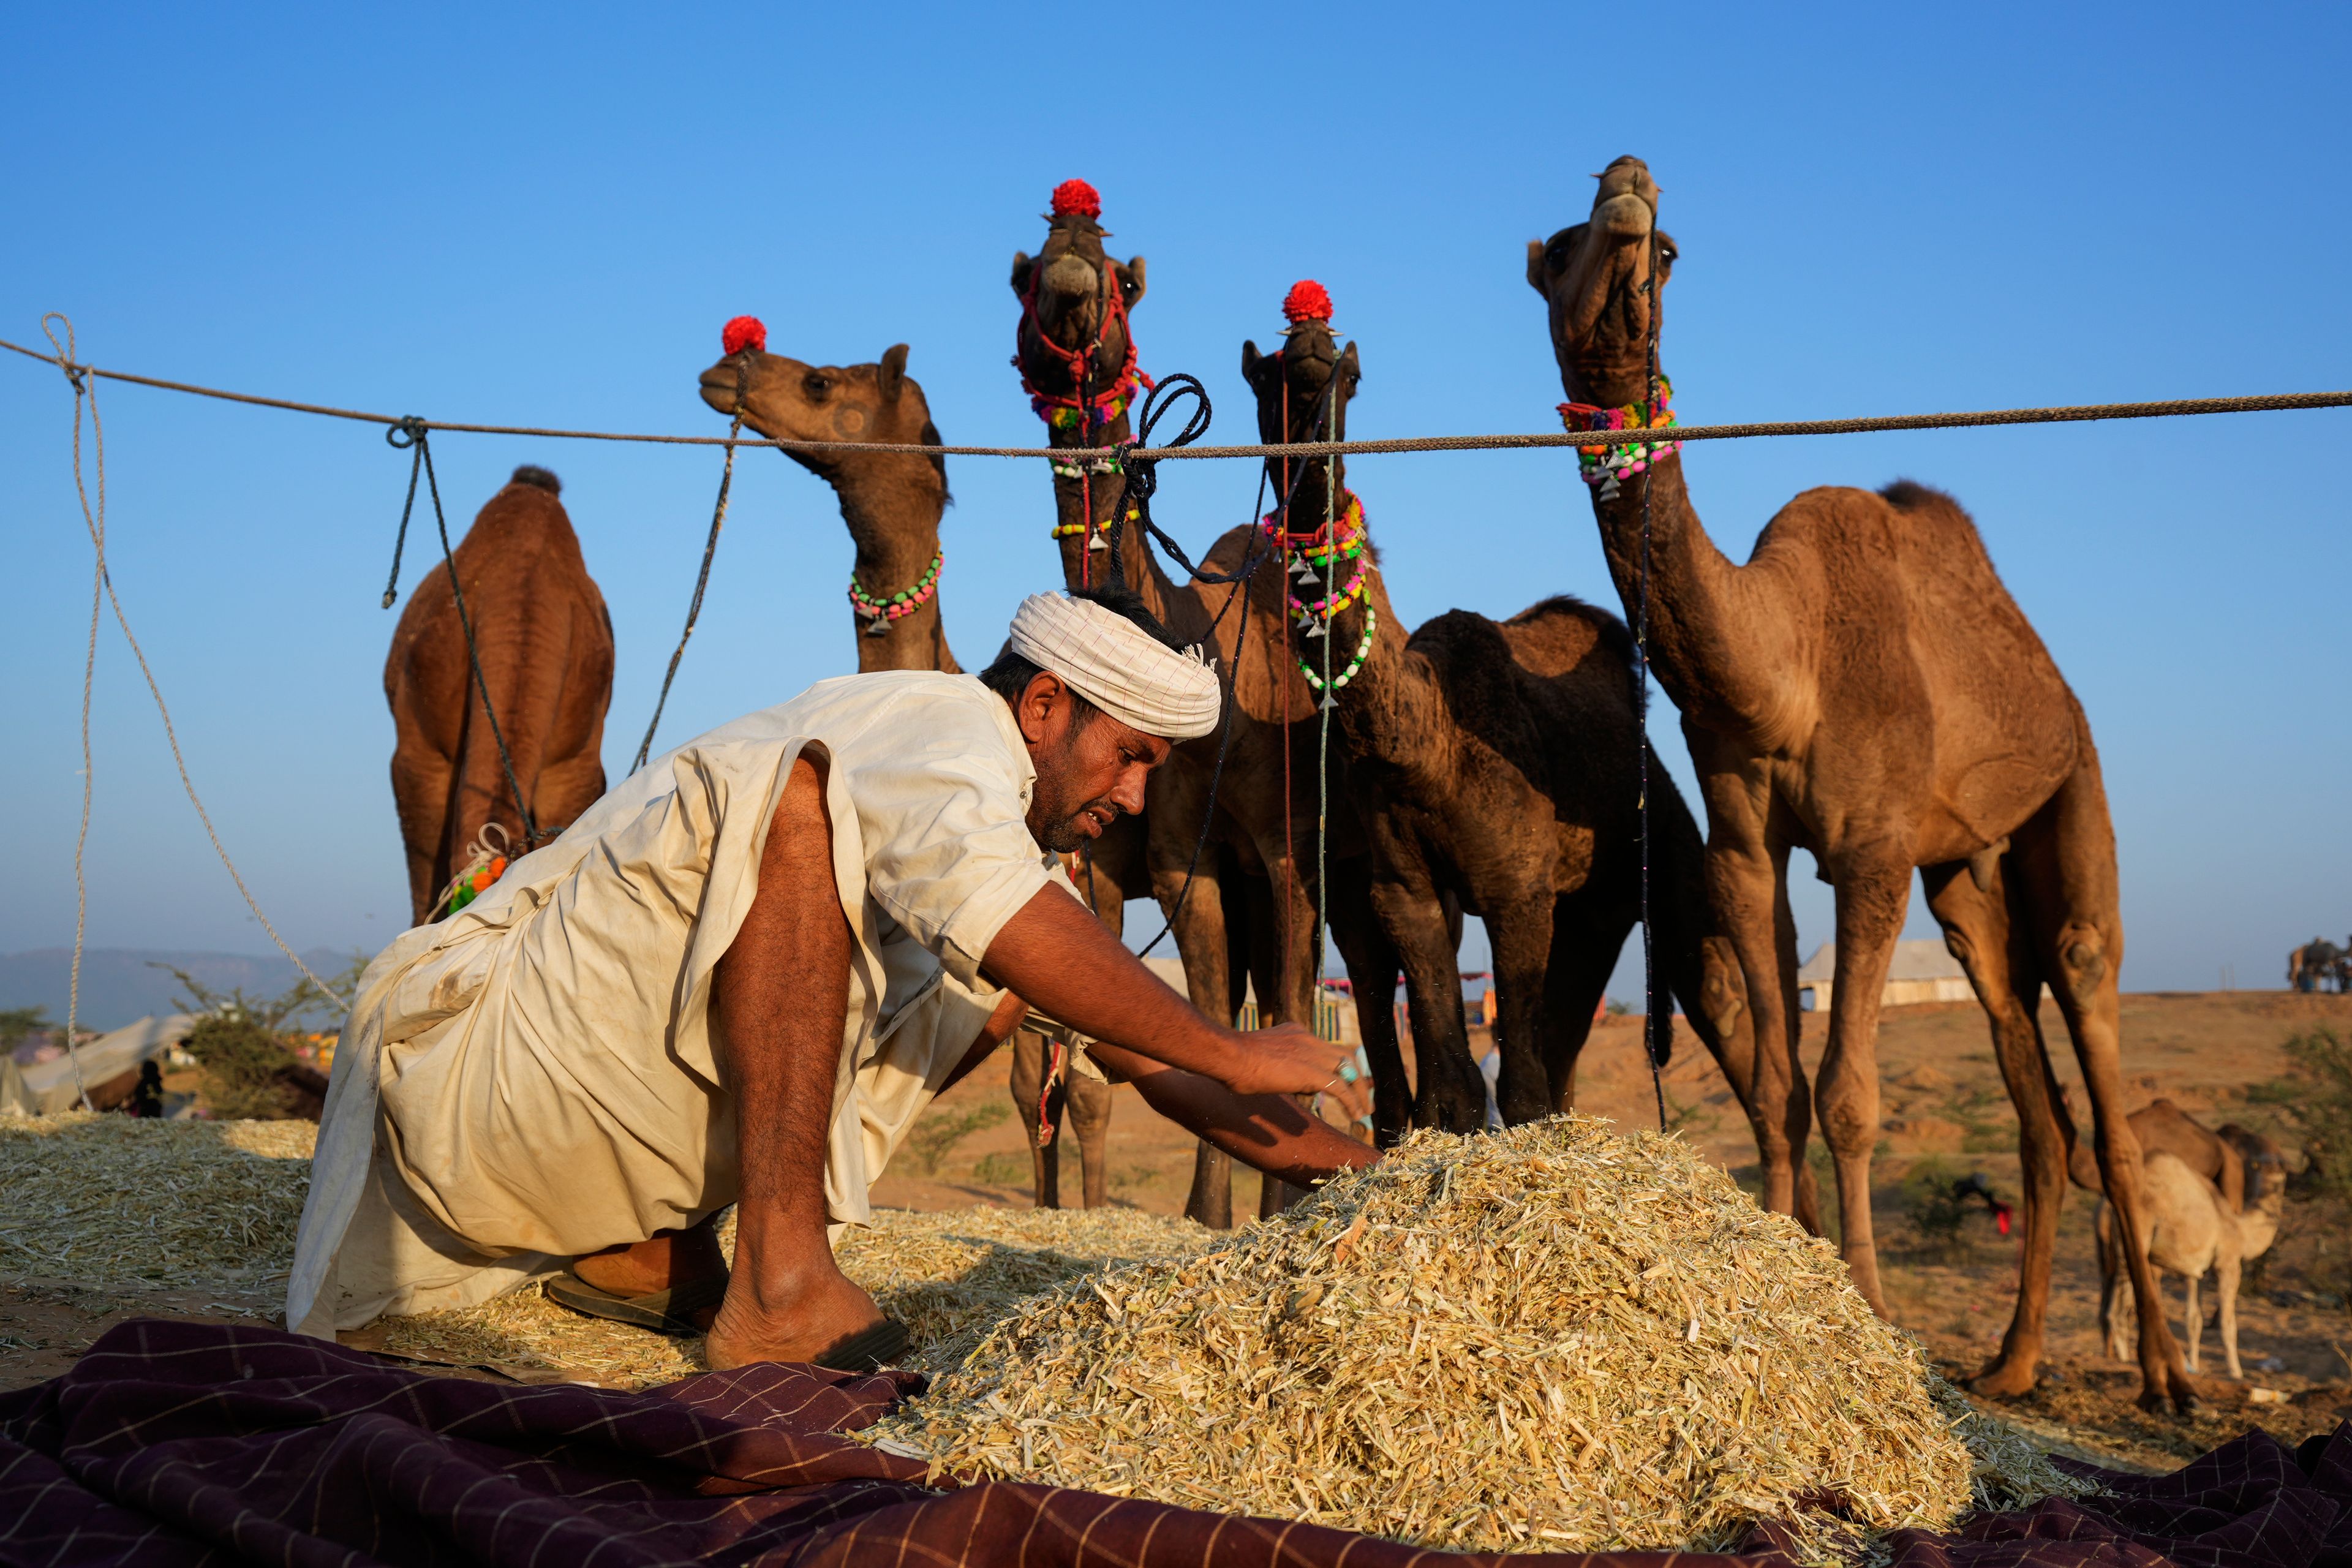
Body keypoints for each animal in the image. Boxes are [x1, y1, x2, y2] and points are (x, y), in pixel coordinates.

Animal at [1011, 187, 1392, 1222]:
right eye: (1032, 274)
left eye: (1349, 369)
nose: (1070, 273)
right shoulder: (1189, 857)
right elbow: (1215, 1011)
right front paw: (1209, 1215)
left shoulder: (1289, 851)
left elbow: (1293, 1012)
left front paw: (1283, 1200)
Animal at [1242, 285, 1768, 1166]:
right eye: (1266, 372)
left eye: (1350, 372)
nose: (1313, 346)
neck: (1425, 747)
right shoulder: (1406, 891)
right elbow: (1456, 1089)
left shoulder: (1518, 886)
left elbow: (1516, 1087)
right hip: (1593, 910)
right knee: (1560, 1050)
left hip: (1664, 855)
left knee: (1731, 1028)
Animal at [1533, 162, 2192, 1420]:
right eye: (1556, 248)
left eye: (1672, 250)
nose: (1628, 189)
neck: (1783, 663)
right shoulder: (1747, 847)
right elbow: (1778, 1086)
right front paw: (1790, 1284)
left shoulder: (1873, 852)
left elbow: (1847, 1092)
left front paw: (1875, 1314)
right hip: (1970, 877)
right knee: (2037, 1098)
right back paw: (2016, 1362)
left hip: (2072, 789)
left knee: (2094, 1018)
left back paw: (2169, 1381)